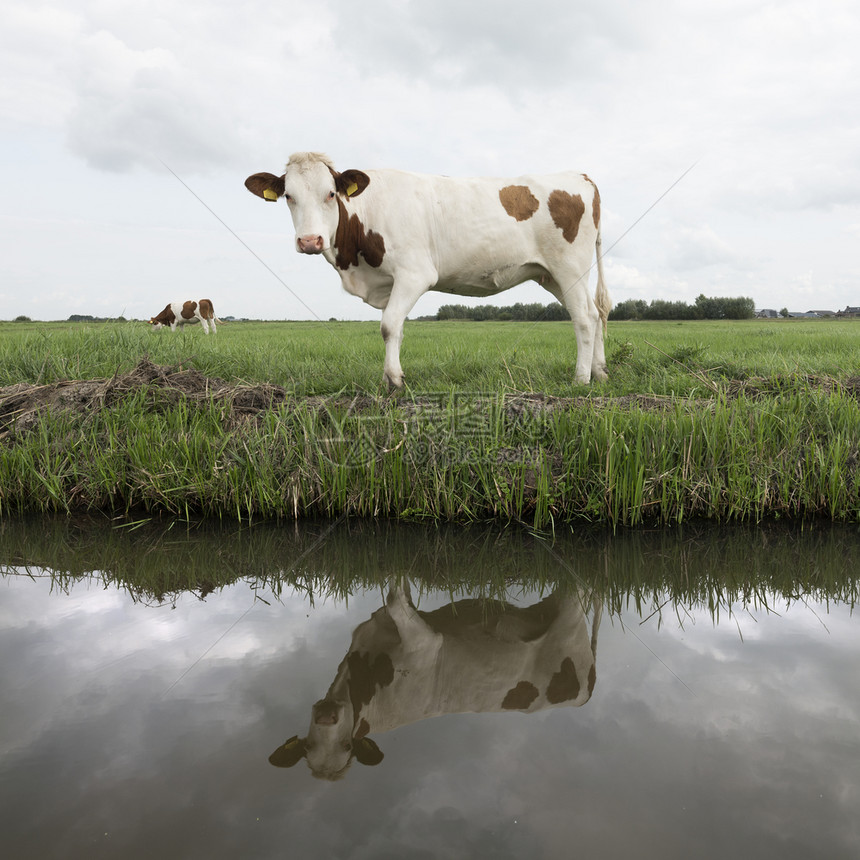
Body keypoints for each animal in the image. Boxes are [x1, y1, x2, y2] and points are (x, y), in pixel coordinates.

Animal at [244, 151, 612, 386]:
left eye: (331, 194)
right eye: (288, 196)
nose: (310, 240)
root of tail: (580, 176)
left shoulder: (414, 273)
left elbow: (389, 325)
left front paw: (394, 380)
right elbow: (395, 328)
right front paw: (387, 376)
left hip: (569, 267)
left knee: (583, 318)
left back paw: (580, 379)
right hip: (551, 276)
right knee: (595, 314)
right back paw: (600, 373)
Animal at [268, 580, 596, 784]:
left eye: (347, 746)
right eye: (309, 745)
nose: (327, 716)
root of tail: (585, 695)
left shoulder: (423, 639)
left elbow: (395, 594)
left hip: (570, 616)